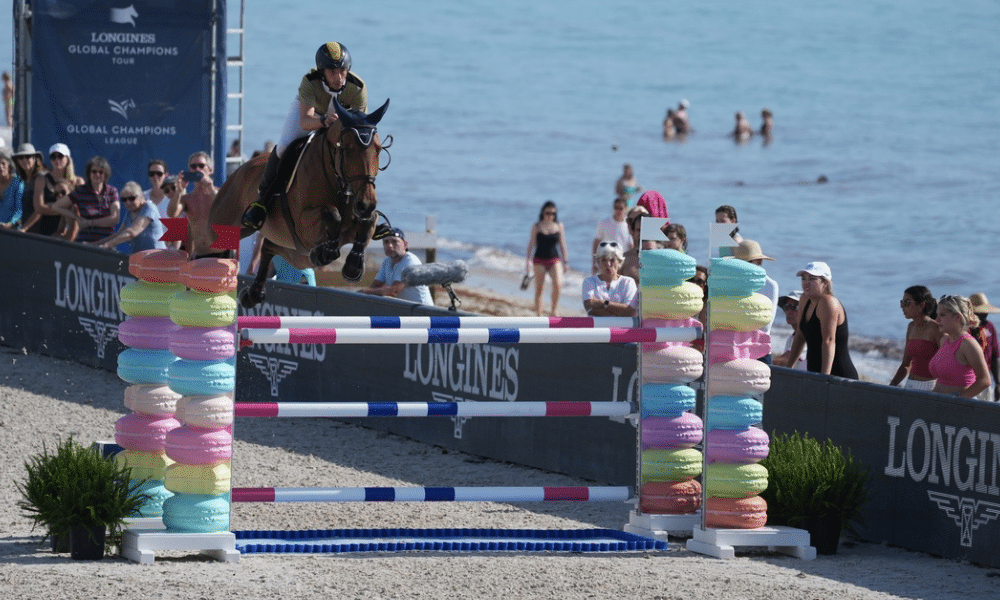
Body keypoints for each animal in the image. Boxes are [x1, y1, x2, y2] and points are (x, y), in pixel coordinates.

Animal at [207, 97, 390, 310]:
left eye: (379, 149)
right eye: (348, 149)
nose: (365, 204)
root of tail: (235, 173)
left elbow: (369, 220)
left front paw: (353, 265)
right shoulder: (303, 227)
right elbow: (332, 214)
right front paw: (325, 252)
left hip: (294, 252)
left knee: (268, 247)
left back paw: (252, 294)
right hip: (225, 227)